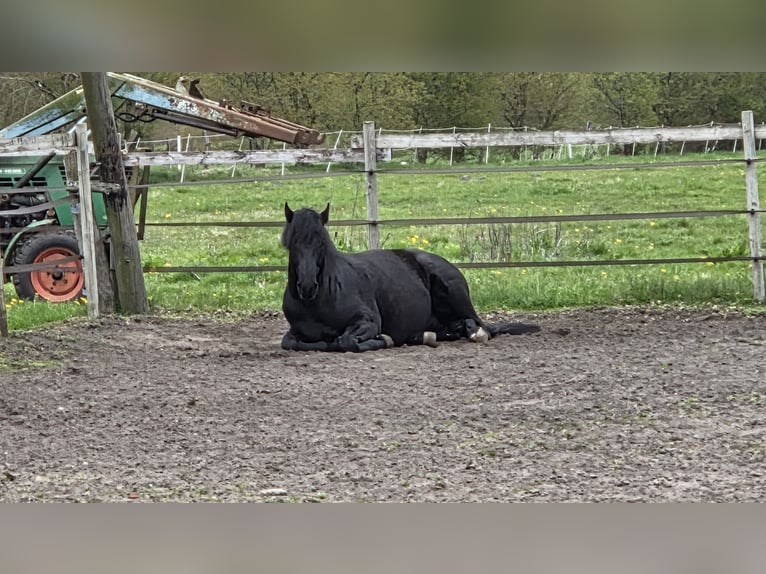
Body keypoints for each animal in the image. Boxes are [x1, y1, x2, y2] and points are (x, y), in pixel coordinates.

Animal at [280, 203, 540, 352]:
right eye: (292, 242)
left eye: (321, 243)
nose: (307, 286)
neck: (320, 301)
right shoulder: (296, 332)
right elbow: (291, 343)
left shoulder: (368, 321)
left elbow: (346, 342)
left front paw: (383, 340)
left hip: (454, 293)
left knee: (480, 325)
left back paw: (474, 333)